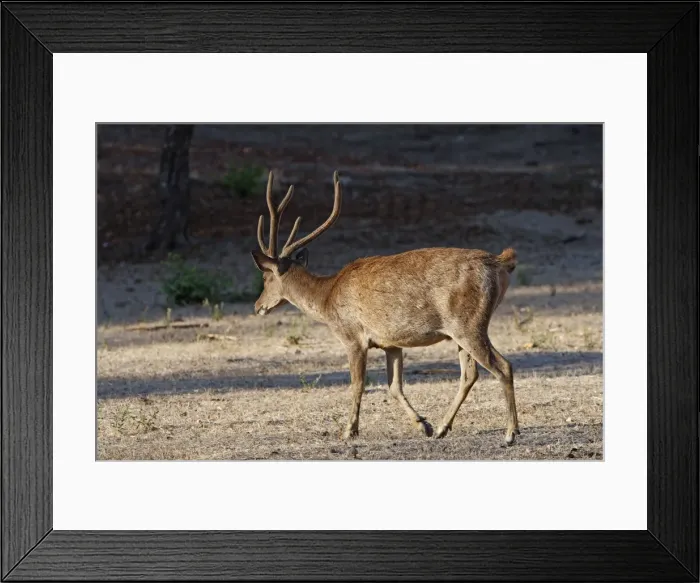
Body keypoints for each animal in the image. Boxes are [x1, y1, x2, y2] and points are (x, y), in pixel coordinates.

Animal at [251, 170, 520, 445]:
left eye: (265, 277)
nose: (258, 305)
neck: (327, 298)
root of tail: (500, 263)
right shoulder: (391, 343)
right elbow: (394, 386)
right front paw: (423, 425)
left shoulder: (353, 336)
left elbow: (358, 384)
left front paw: (349, 431)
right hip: (461, 331)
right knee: (469, 374)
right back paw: (443, 428)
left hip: (469, 324)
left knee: (503, 366)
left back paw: (510, 433)